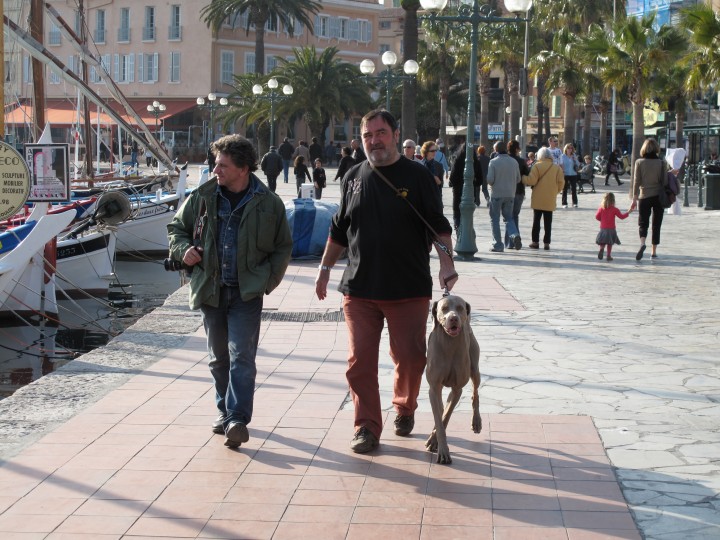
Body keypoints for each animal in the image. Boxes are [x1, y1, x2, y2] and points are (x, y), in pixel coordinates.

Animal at [424, 296, 480, 464]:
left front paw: (435, 442)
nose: (453, 318)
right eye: (444, 308)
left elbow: (445, 417)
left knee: (475, 393)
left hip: (475, 368)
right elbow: (439, 417)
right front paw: (439, 447)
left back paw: (476, 422)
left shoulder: (457, 389)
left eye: (460, 308)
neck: (449, 344)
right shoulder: (434, 387)